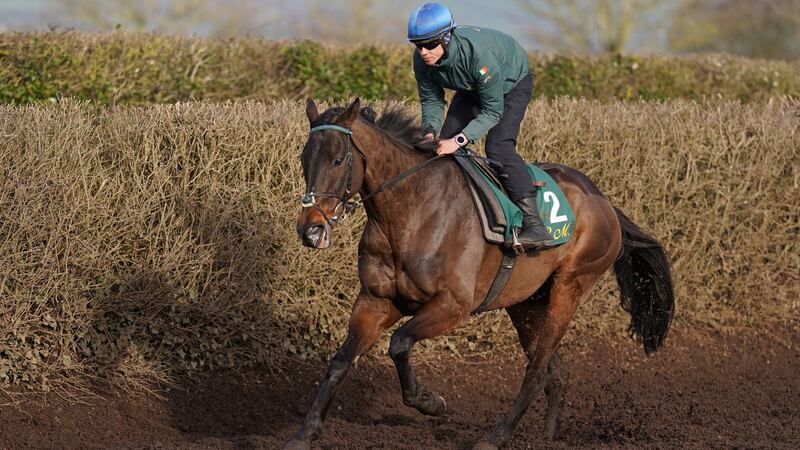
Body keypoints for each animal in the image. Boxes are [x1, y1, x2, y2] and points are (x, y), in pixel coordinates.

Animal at [288, 98, 676, 450]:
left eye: (338, 160)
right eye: (304, 159)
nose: (310, 230)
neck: (410, 212)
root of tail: (603, 200)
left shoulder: (453, 306)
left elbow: (399, 344)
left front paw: (430, 402)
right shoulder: (375, 301)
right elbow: (341, 361)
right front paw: (305, 434)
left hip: (571, 285)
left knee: (537, 371)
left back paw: (494, 438)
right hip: (526, 303)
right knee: (555, 372)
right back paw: (548, 438)